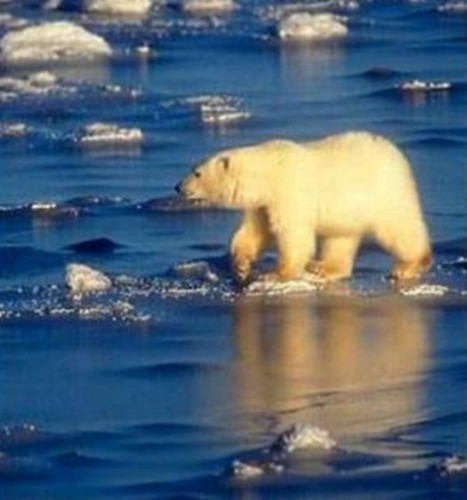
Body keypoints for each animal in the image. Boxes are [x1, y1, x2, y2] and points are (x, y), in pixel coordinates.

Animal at [177, 131, 434, 284]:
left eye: (197, 173)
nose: (178, 187)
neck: (267, 172)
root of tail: (396, 154)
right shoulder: (264, 204)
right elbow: (254, 231)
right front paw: (241, 266)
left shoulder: (288, 193)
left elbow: (293, 235)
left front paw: (276, 274)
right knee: (340, 239)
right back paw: (324, 268)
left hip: (385, 194)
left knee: (400, 228)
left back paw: (407, 266)